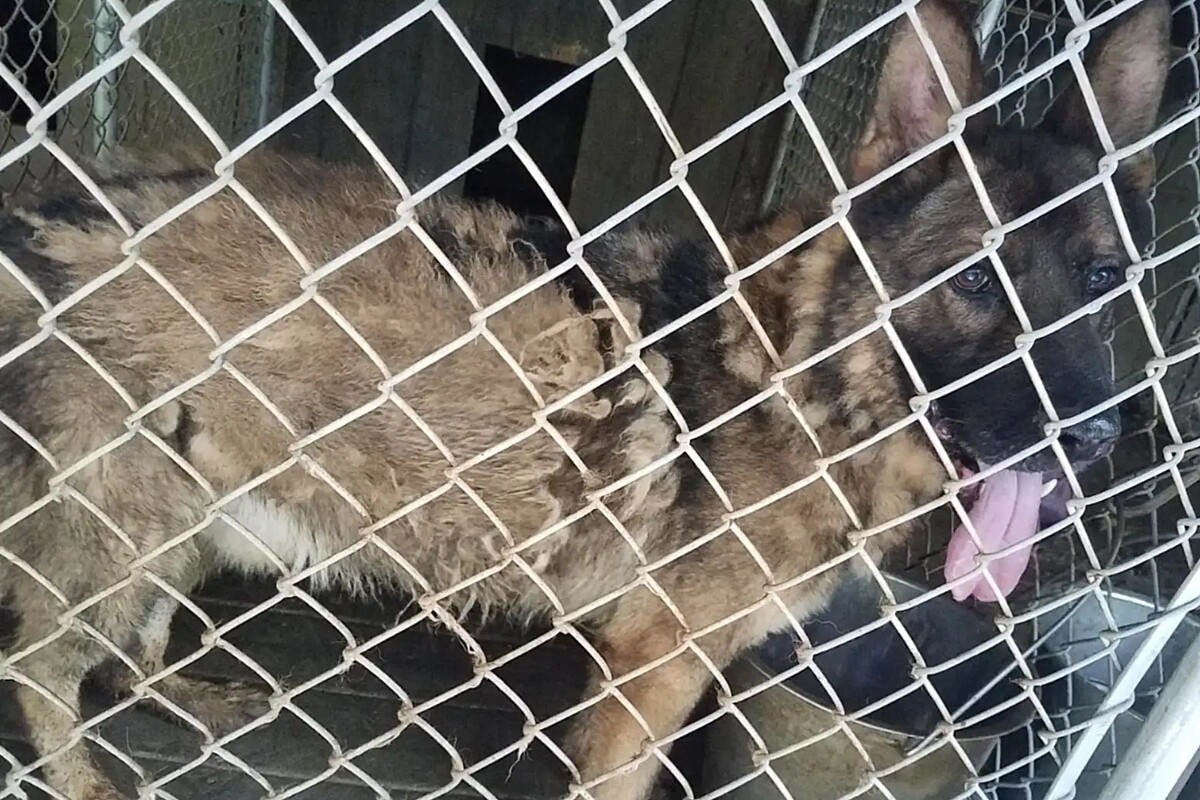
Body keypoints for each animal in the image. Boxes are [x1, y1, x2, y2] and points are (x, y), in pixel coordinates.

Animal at [0, 1, 1171, 800]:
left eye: (1106, 279)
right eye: (975, 280)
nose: (1095, 436)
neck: (805, 372)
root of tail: (51, 209)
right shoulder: (654, 667)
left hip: (181, 522)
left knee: (126, 648)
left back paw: (174, 693)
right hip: (127, 526)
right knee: (40, 659)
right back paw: (80, 776)